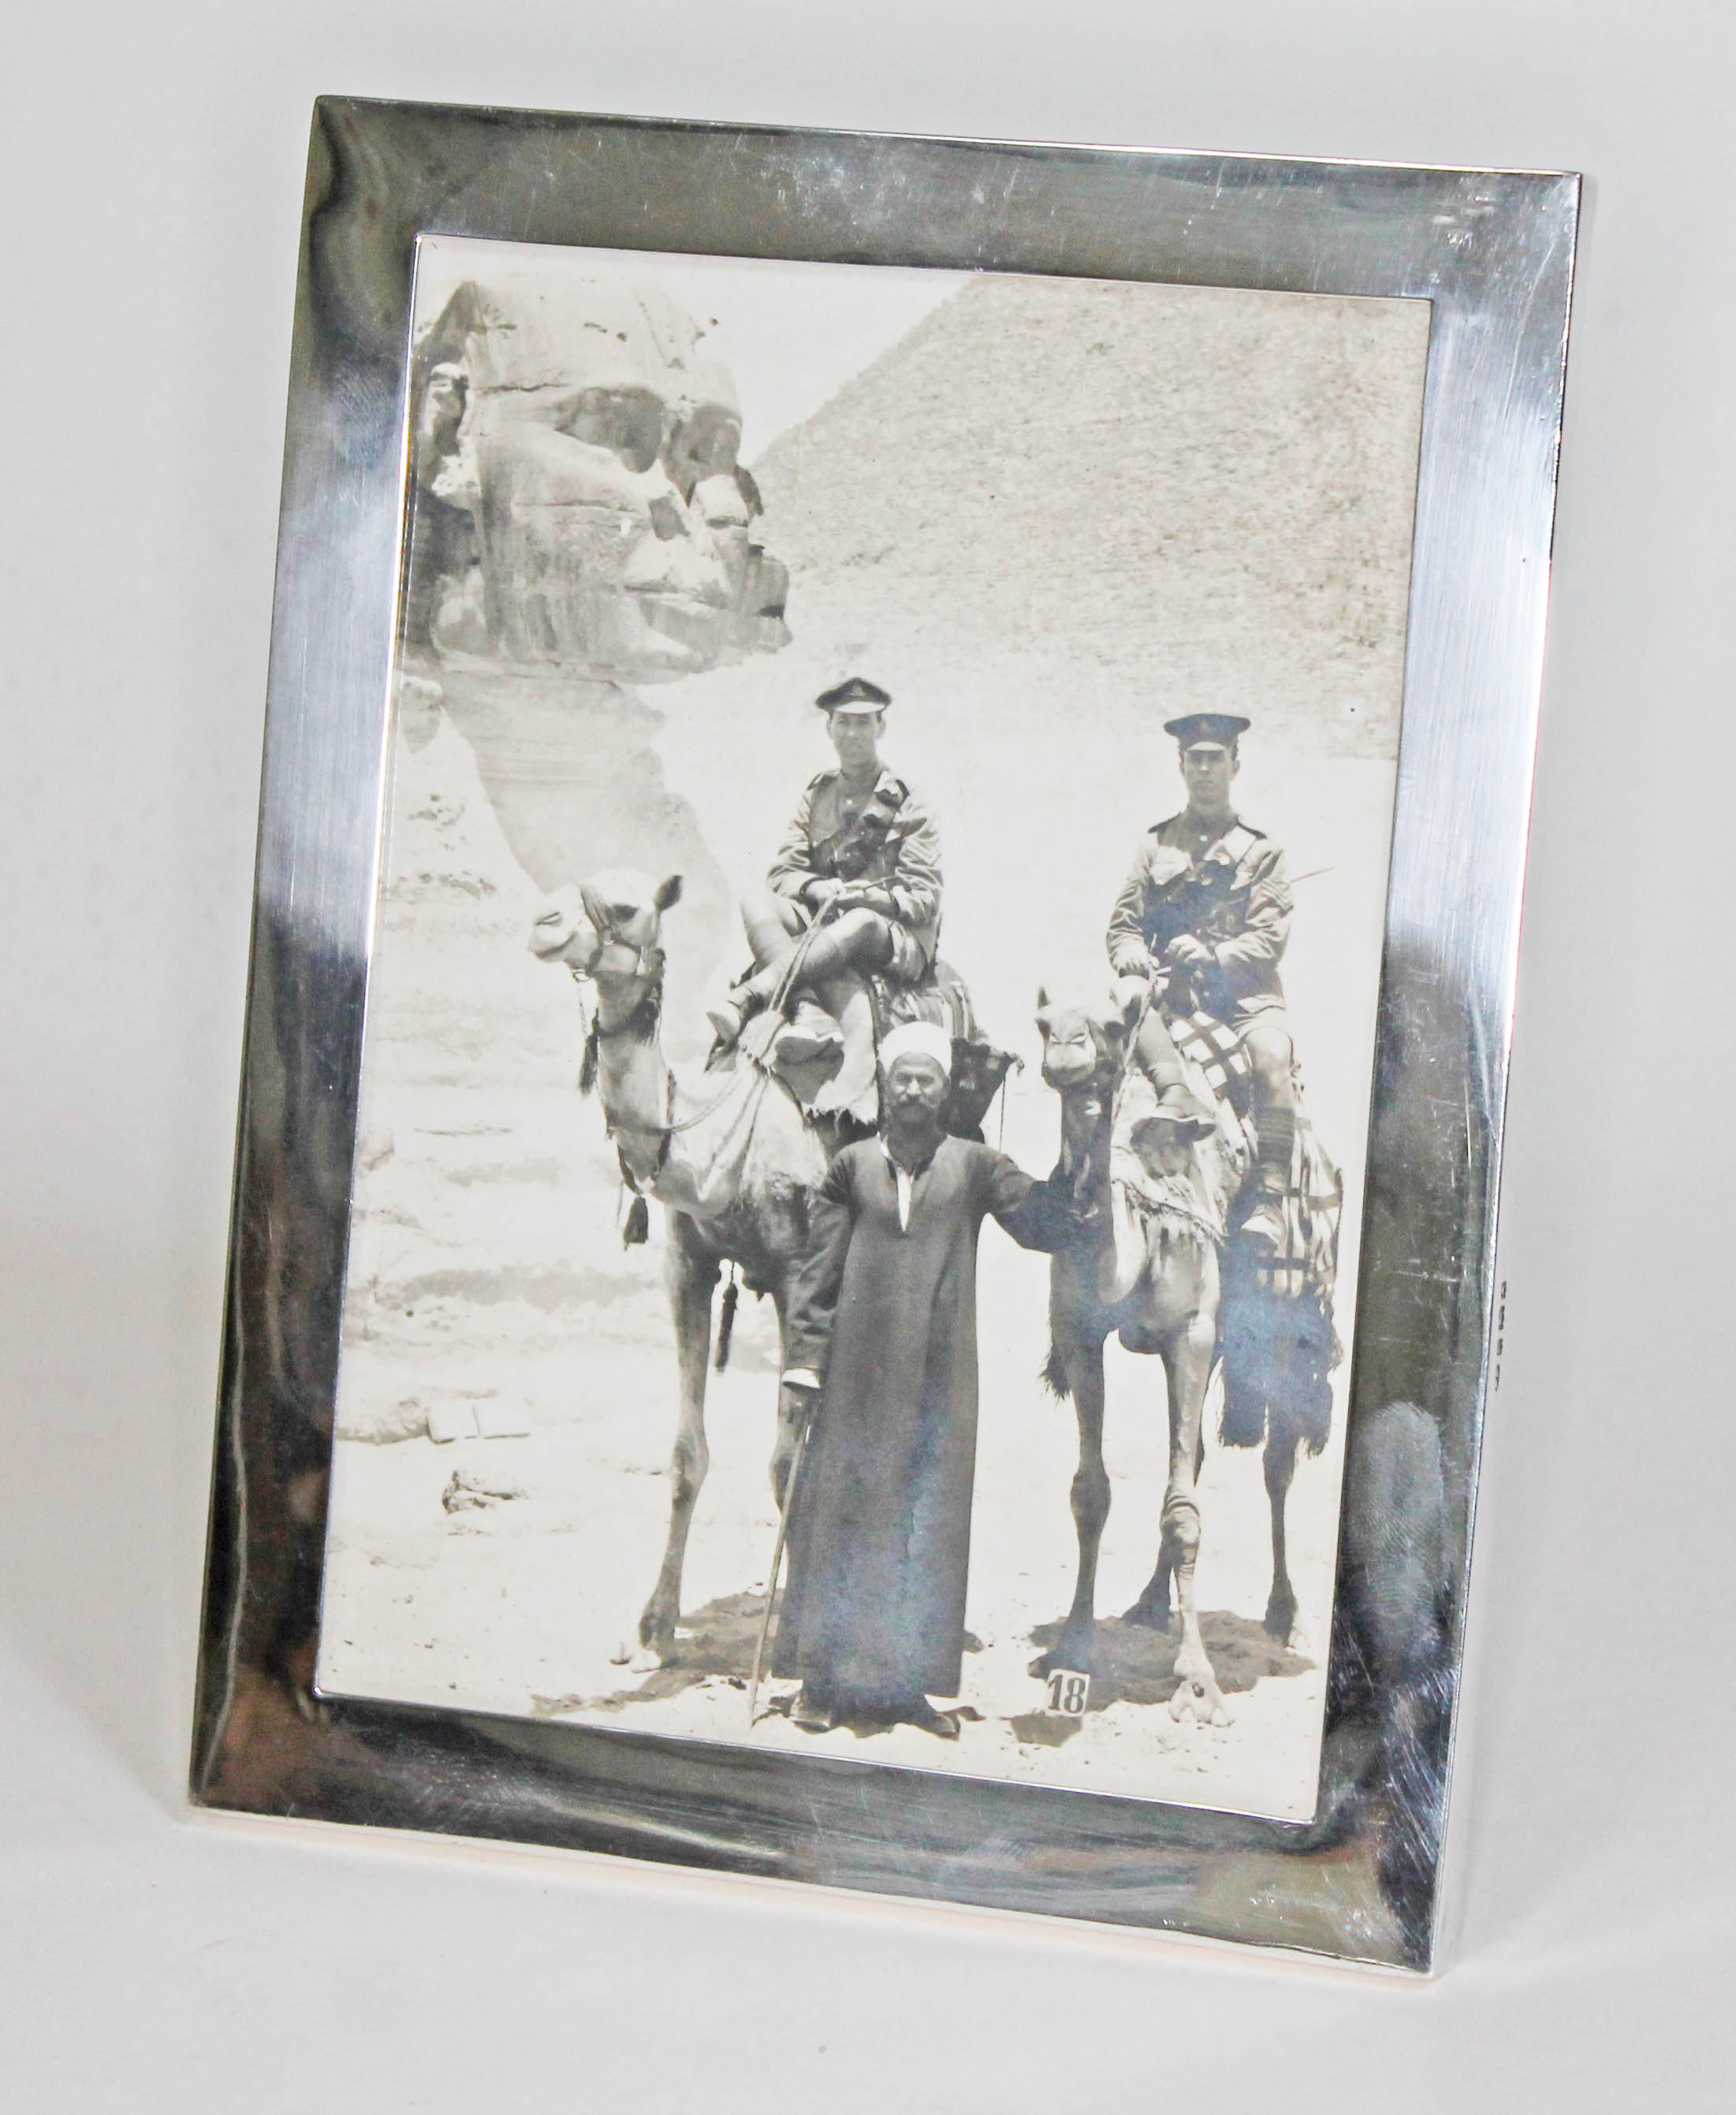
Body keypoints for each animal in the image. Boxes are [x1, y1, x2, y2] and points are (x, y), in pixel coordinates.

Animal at [1036, 981, 1336, 1726]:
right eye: (1043, 1019)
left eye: (1113, 1026)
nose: (1066, 1050)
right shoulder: (1080, 1333)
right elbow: (1092, 1492)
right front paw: (1073, 1647)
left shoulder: (1192, 1332)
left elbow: (1183, 1512)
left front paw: (1198, 1681)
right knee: (1194, 1457)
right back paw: (1148, 1603)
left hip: (1282, 1334)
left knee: (1277, 1465)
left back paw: (1287, 1615)